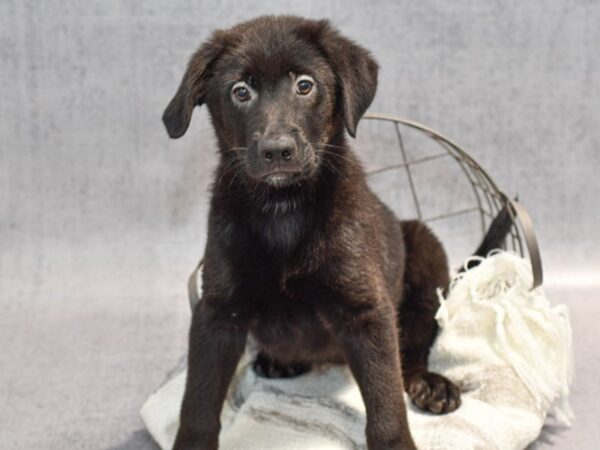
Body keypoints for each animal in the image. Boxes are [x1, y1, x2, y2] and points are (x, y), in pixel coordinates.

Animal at [163, 14, 506, 450]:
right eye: (240, 91)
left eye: (305, 85)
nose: (277, 151)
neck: (284, 210)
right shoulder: (218, 313)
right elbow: (199, 401)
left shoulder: (365, 310)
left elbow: (385, 398)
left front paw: (395, 441)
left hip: (425, 254)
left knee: (412, 350)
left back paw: (429, 383)